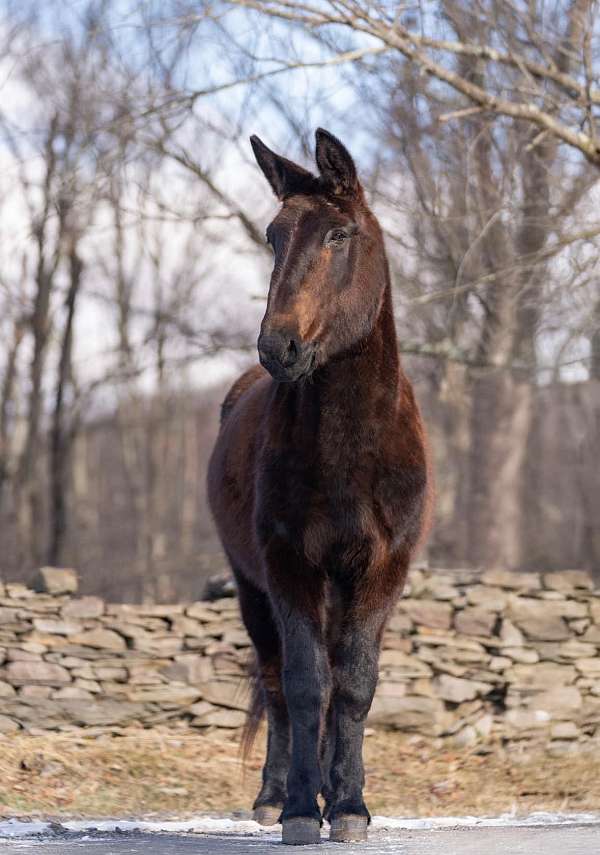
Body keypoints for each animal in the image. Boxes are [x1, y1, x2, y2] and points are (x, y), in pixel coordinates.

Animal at [207, 130, 432, 844]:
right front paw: (303, 811)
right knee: (277, 684)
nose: (278, 347)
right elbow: (307, 685)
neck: (349, 450)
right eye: (274, 236)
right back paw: (274, 796)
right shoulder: (288, 567)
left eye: (339, 234)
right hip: (252, 590)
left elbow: (353, 685)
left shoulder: (381, 569)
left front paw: (351, 806)